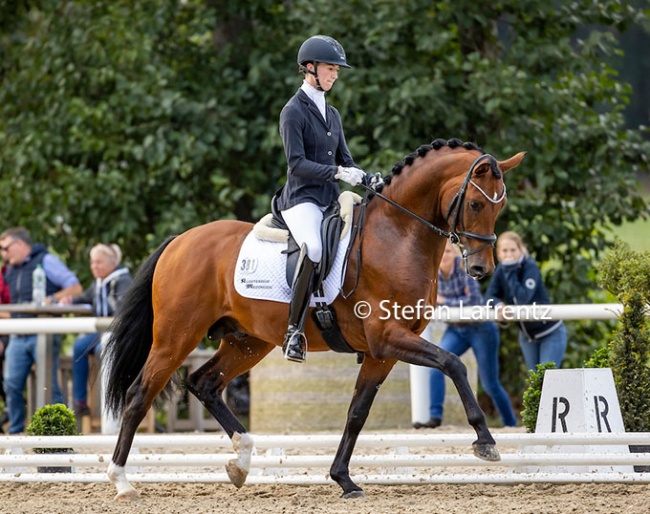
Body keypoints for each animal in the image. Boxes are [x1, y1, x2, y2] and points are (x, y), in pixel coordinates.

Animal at [104, 136, 524, 496]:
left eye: (500, 206)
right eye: (475, 205)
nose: (481, 270)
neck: (398, 236)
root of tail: (179, 240)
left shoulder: (382, 353)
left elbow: (357, 412)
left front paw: (344, 479)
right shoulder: (388, 337)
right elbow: (454, 364)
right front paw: (485, 441)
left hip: (247, 341)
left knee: (205, 383)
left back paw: (241, 461)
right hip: (176, 336)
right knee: (140, 394)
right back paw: (122, 481)